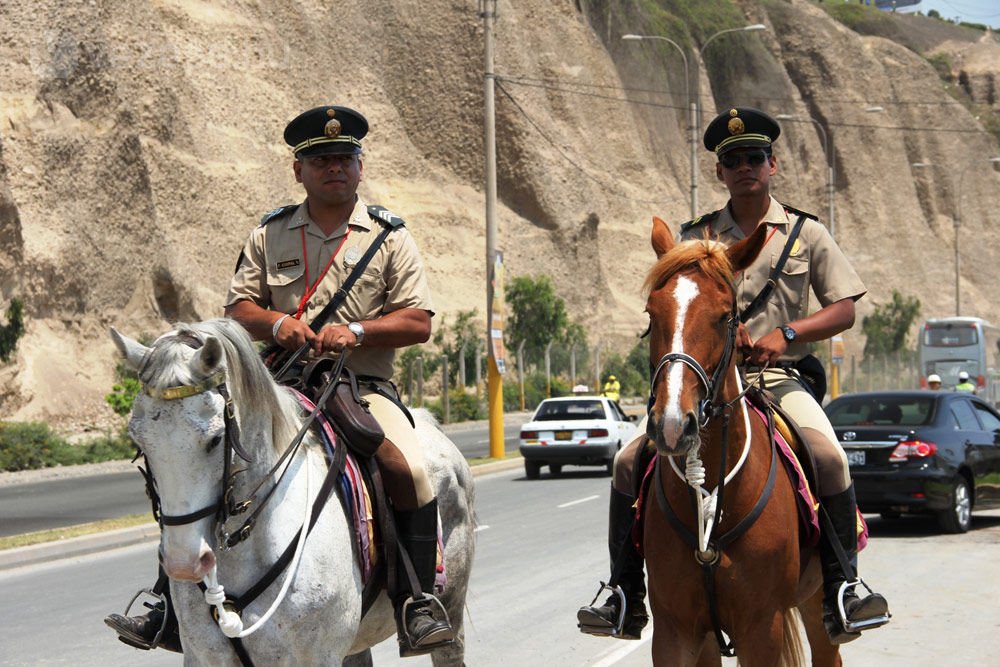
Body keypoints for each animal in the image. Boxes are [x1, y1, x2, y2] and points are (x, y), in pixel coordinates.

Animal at [111, 320, 478, 664]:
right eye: (139, 441)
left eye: (215, 439)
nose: (184, 563)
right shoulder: (205, 657)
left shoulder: (317, 656)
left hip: (450, 611)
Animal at [640, 217, 836, 664]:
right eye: (651, 313)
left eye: (725, 316)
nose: (672, 425)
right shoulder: (674, 631)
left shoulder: (761, 628)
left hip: (817, 605)